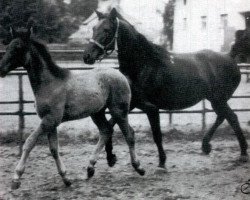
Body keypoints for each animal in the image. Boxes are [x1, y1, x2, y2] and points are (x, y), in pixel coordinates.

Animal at [0, 27, 145, 189]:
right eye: (8, 46)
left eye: (18, 47)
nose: (1, 69)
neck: (50, 83)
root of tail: (120, 74)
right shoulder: (51, 122)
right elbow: (53, 149)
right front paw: (66, 178)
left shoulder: (50, 120)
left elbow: (29, 142)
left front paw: (16, 178)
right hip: (97, 113)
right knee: (106, 131)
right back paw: (90, 168)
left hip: (119, 111)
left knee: (129, 134)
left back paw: (138, 167)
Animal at [83, 9, 248, 169]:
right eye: (93, 28)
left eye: (106, 30)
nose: (87, 56)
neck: (143, 65)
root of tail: (230, 56)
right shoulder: (130, 104)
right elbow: (110, 125)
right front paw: (110, 158)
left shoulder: (149, 107)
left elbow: (156, 135)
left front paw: (162, 162)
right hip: (216, 100)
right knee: (223, 116)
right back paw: (207, 146)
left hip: (218, 99)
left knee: (232, 118)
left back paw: (243, 152)